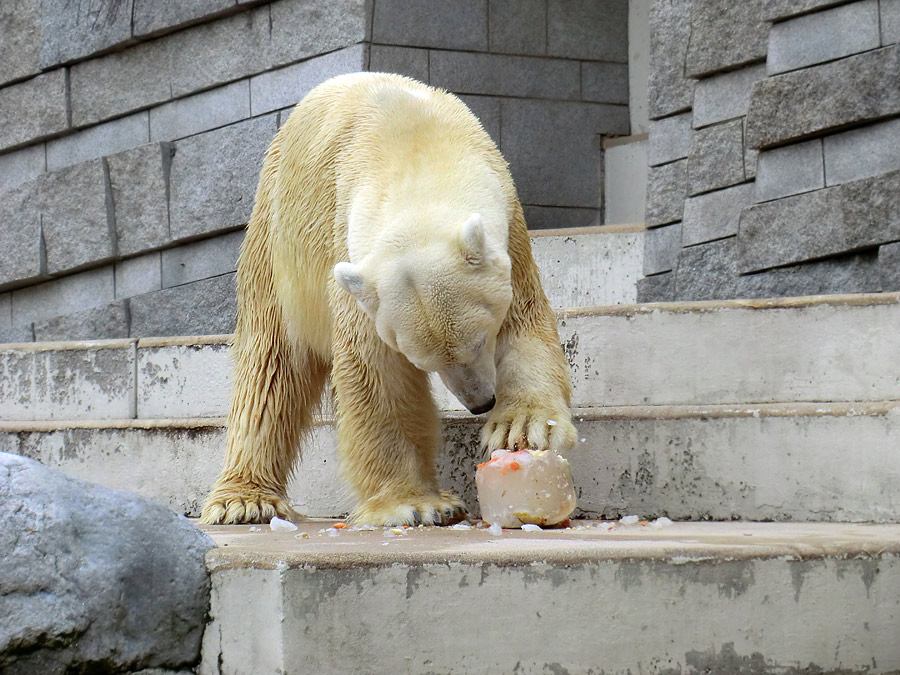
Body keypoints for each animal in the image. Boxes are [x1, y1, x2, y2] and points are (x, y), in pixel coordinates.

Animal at [199, 74, 576, 528]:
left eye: (480, 340)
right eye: (425, 361)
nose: (480, 402)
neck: (417, 157)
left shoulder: (509, 226)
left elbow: (523, 322)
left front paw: (521, 427)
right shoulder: (347, 254)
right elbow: (376, 369)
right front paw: (416, 504)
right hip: (275, 241)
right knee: (270, 364)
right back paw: (243, 500)